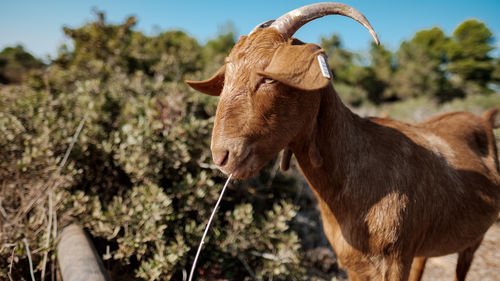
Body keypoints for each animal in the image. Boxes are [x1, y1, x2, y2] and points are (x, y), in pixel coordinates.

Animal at [187, 2, 500, 280]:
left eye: (268, 77)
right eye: (226, 77)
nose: (222, 155)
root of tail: (484, 118)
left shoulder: (396, 260)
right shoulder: (354, 264)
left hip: (474, 240)